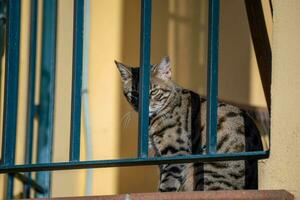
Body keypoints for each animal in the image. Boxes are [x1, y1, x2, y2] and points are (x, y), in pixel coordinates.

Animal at [115, 57, 262, 191]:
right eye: (134, 93)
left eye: (154, 91)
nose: (141, 106)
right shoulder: (160, 156)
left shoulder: (175, 151)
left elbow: (167, 183)